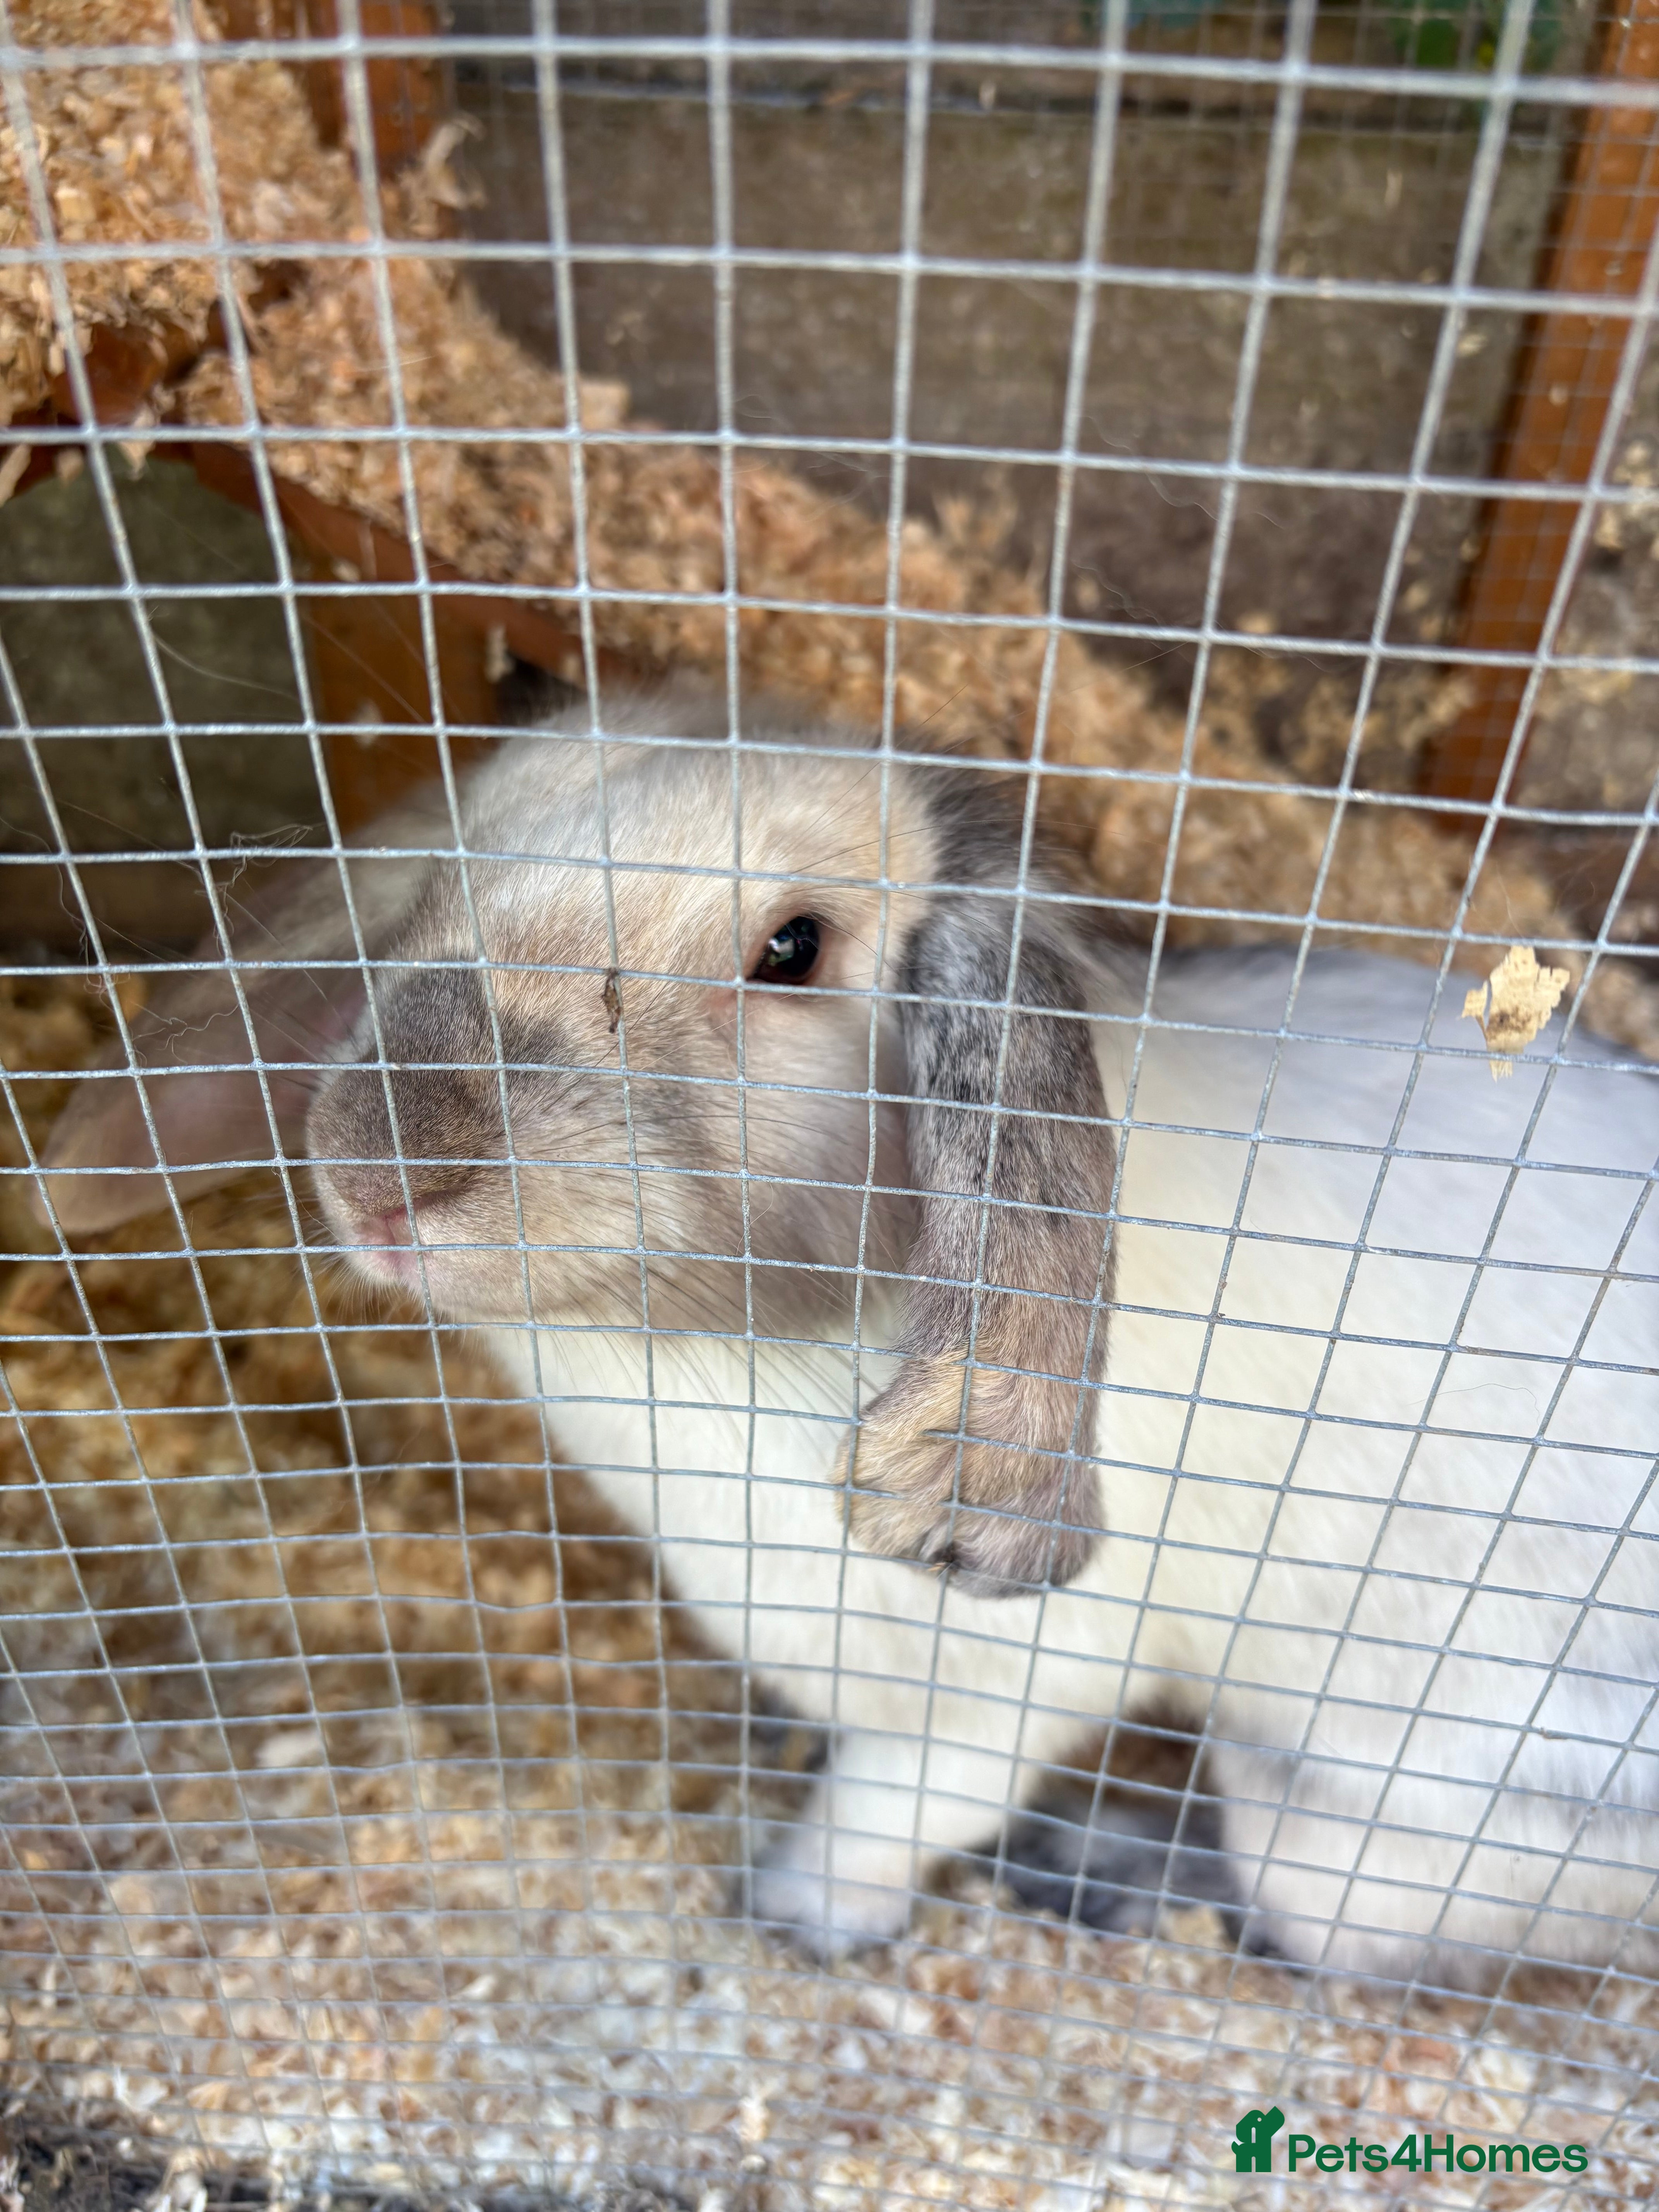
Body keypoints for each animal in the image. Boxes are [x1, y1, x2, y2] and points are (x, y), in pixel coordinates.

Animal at [38, 687, 1659, 1992]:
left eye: (792, 947)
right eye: (444, 882)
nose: (385, 1166)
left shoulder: (1013, 1687)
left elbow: (890, 1813)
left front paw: (797, 1916)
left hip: (1371, 1818)